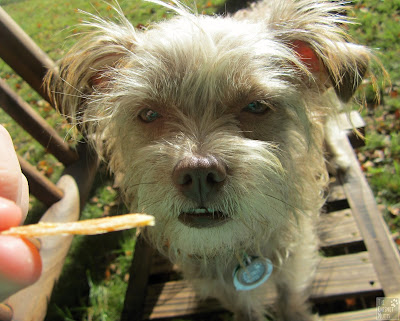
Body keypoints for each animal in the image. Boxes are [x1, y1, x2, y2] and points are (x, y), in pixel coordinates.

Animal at [43, 1, 368, 318]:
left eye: (256, 106)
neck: (235, 249)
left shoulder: (293, 265)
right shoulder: (228, 292)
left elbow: (292, 304)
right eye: (149, 113)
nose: (199, 174)